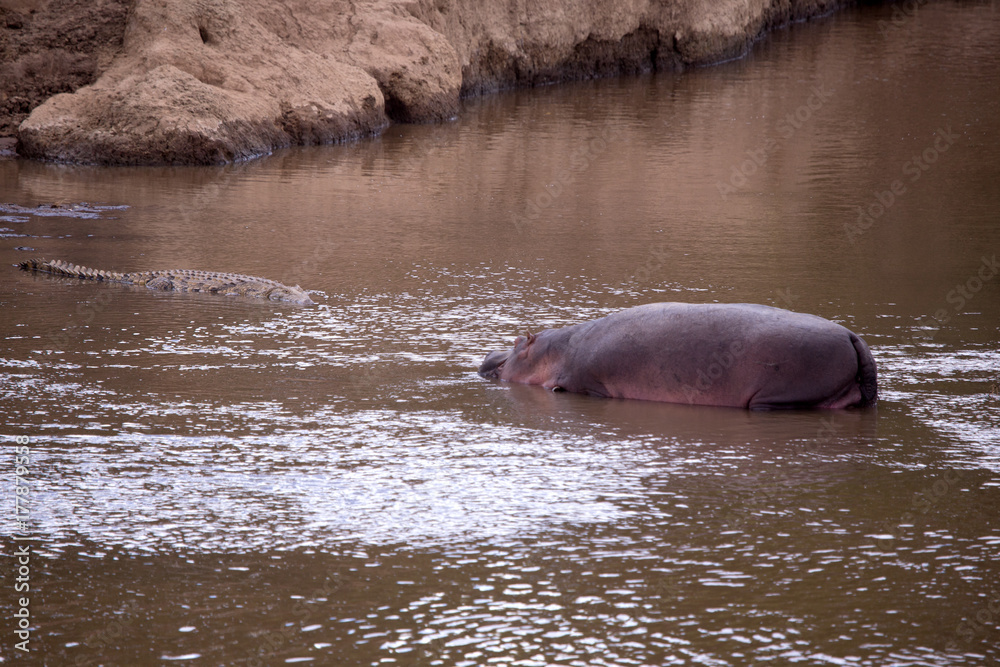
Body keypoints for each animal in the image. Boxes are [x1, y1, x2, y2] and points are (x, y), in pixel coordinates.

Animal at [478, 303, 878, 410]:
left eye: (516, 342)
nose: (487, 357)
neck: (557, 351)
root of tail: (853, 336)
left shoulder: (589, 384)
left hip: (775, 396)